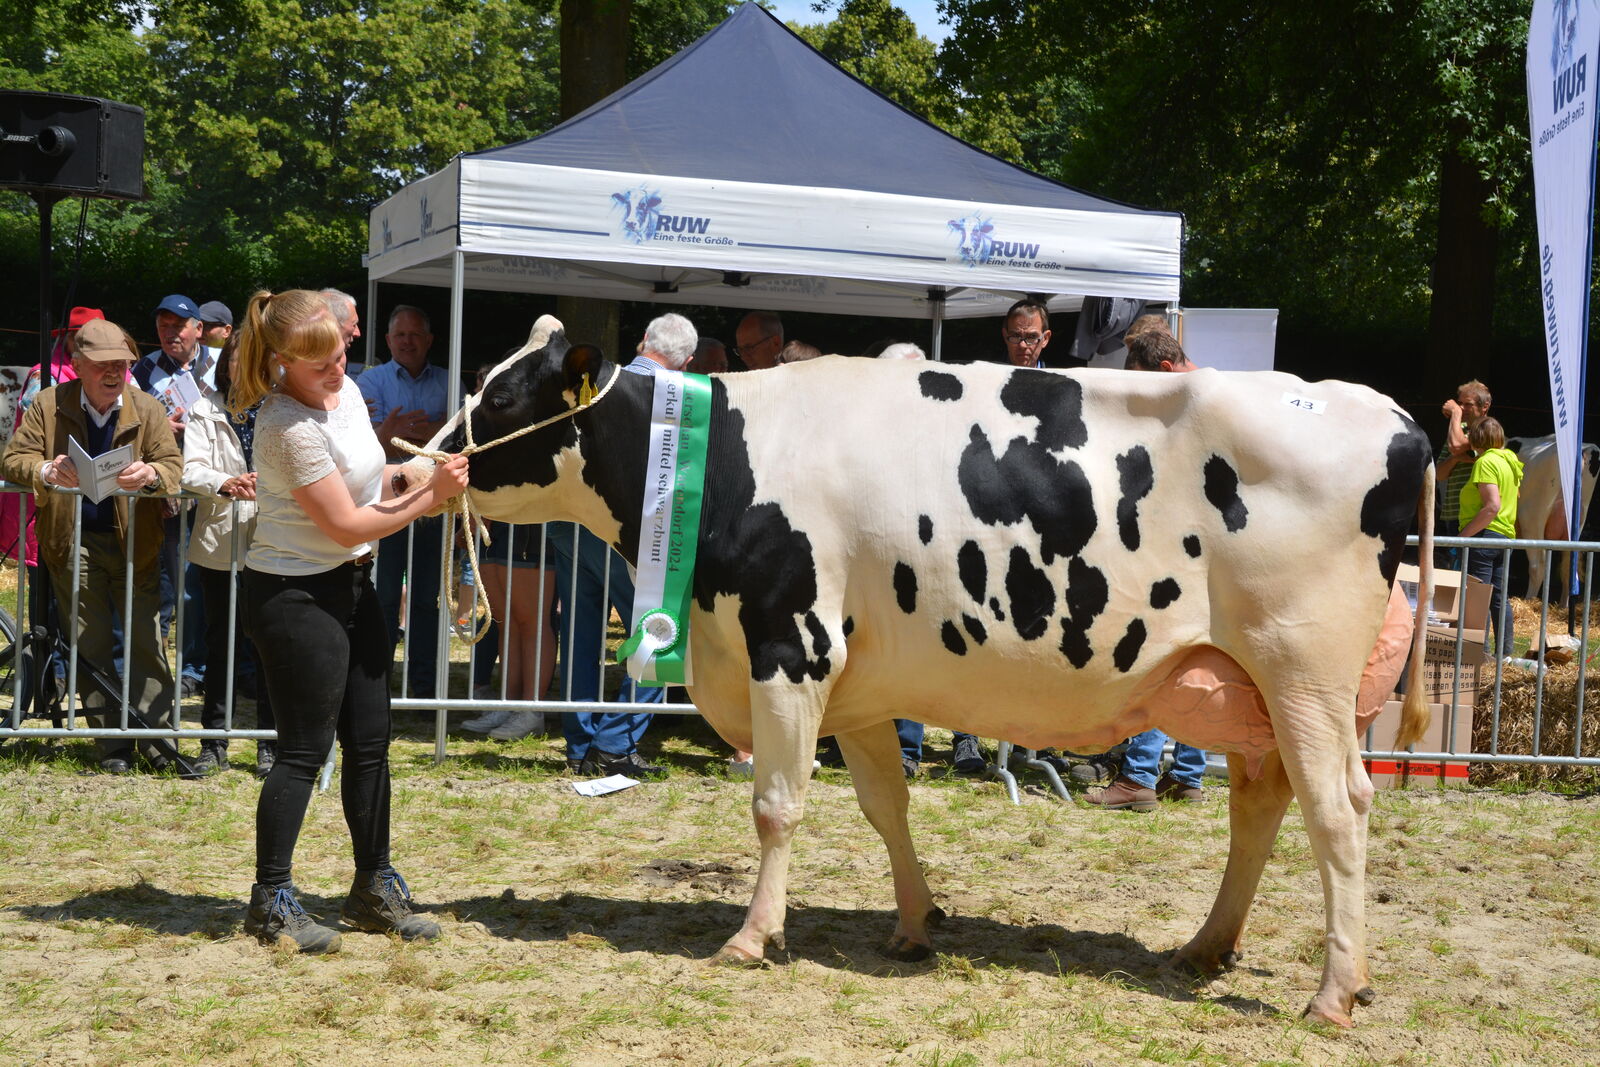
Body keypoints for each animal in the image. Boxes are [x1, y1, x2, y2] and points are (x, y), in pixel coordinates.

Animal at [416, 315, 1440, 1023]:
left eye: (499, 398)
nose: (422, 466)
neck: (725, 457)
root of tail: (1392, 415)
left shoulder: (791, 647)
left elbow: (776, 806)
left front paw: (752, 935)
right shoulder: (860, 680)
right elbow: (886, 805)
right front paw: (914, 924)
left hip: (1304, 673)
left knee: (1338, 809)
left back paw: (1332, 992)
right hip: (1244, 689)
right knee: (1261, 806)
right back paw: (1207, 945)